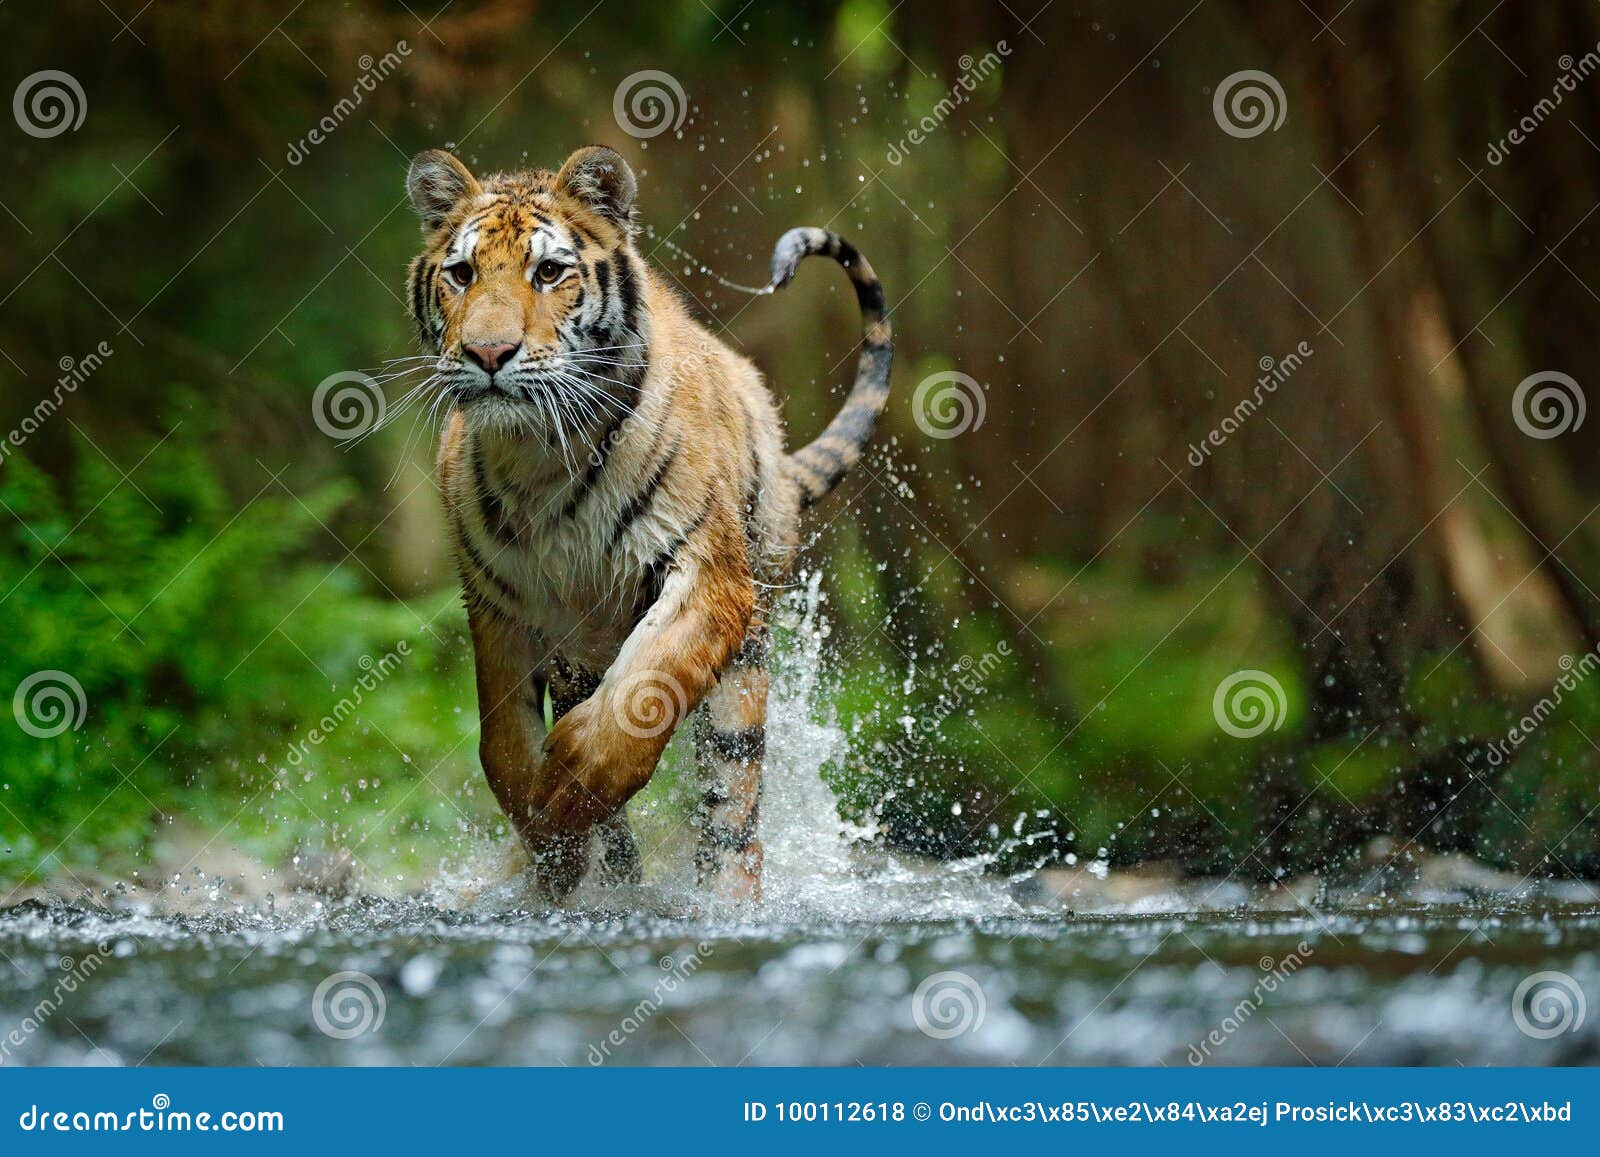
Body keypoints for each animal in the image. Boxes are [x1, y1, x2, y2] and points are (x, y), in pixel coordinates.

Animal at [400, 147, 896, 902]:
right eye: (461, 274)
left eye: (550, 272)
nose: (488, 354)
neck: (539, 456)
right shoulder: (497, 602)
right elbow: (503, 745)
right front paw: (551, 847)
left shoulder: (707, 576)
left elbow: (639, 695)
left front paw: (565, 790)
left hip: (745, 667)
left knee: (732, 812)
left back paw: (725, 903)